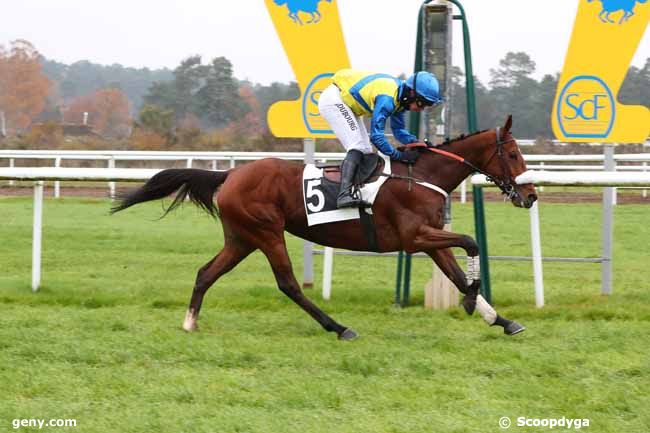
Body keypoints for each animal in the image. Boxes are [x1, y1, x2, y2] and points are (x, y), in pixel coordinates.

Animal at [112, 115, 536, 340]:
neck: (421, 176)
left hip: (241, 238)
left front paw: (500, 319)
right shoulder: (414, 237)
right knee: (288, 284)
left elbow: (457, 273)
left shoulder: (430, 240)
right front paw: (471, 304)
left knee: (206, 272)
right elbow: (471, 242)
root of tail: (231, 174)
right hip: (267, 233)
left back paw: (190, 321)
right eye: (514, 154)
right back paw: (338, 327)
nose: (530, 195)